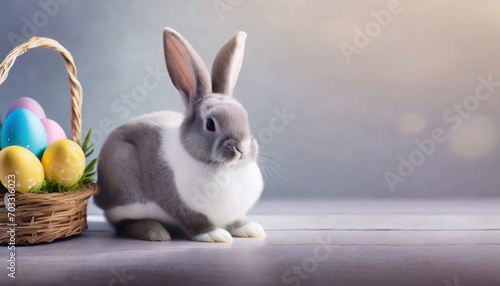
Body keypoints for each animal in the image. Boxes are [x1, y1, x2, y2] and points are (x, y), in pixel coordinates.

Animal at [94, 26, 266, 242]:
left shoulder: (233, 211)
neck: (226, 168)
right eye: (210, 124)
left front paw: (251, 229)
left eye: (245, 116)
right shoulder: (181, 205)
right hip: (125, 195)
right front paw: (216, 235)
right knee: (123, 224)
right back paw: (155, 232)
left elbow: (237, 220)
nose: (242, 148)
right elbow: (195, 222)